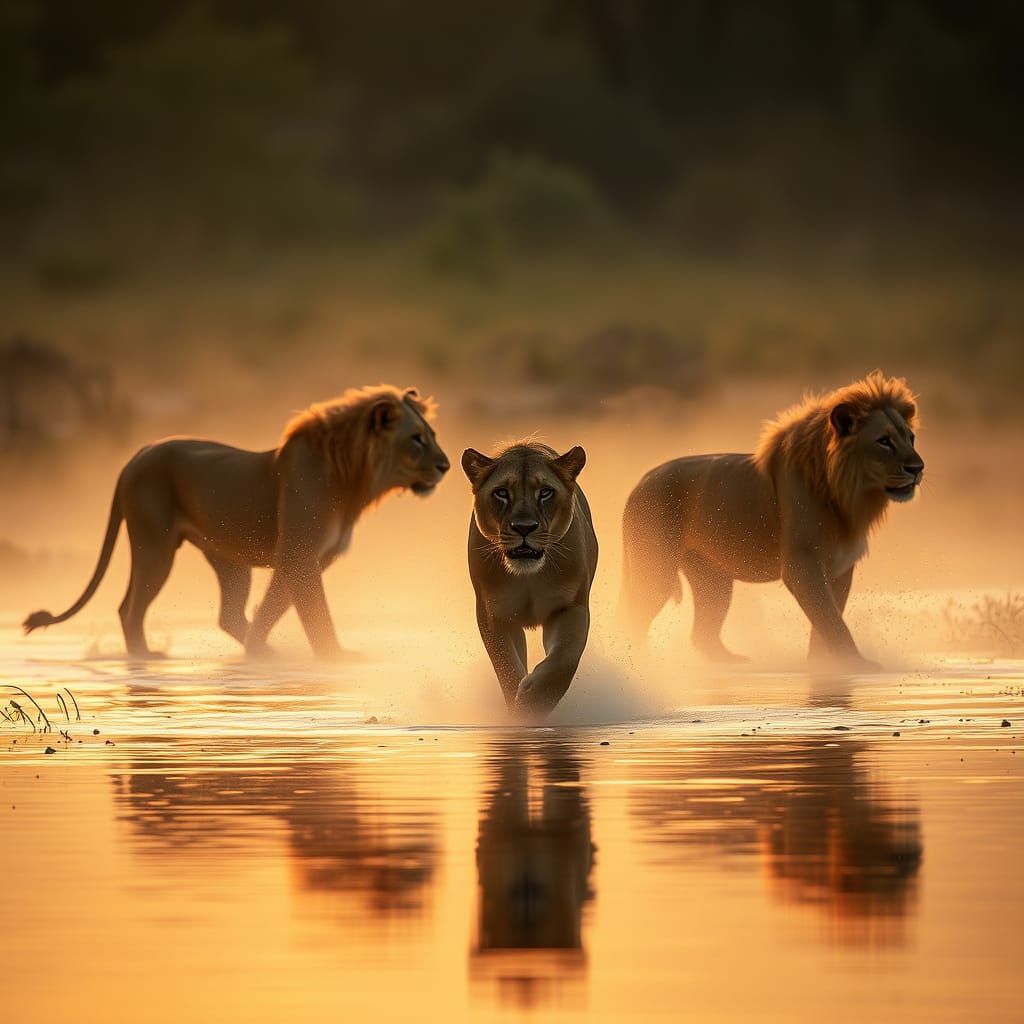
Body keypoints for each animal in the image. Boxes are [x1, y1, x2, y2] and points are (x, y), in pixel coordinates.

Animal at [24, 385, 449, 659]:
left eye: (432, 434)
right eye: (416, 439)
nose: (446, 465)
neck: (353, 480)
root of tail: (137, 455)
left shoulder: (307, 558)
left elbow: (273, 608)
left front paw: (261, 653)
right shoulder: (299, 554)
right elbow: (316, 613)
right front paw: (335, 657)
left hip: (229, 561)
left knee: (226, 615)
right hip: (155, 546)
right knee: (129, 609)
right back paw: (144, 657)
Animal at [462, 441, 598, 716]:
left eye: (545, 492)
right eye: (501, 493)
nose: (524, 527)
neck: (529, 577)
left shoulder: (570, 607)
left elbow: (564, 659)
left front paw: (533, 703)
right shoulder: (494, 615)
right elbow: (506, 667)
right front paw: (519, 712)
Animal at [620, 372, 923, 669]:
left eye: (910, 438)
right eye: (884, 441)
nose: (918, 468)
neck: (844, 494)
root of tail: (639, 483)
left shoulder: (839, 568)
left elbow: (824, 622)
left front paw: (822, 667)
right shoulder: (802, 565)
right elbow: (832, 621)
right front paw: (854, 663)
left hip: (713, 578)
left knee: (700, 635)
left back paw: (730, 661)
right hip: (655, 569)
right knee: (631, 620)